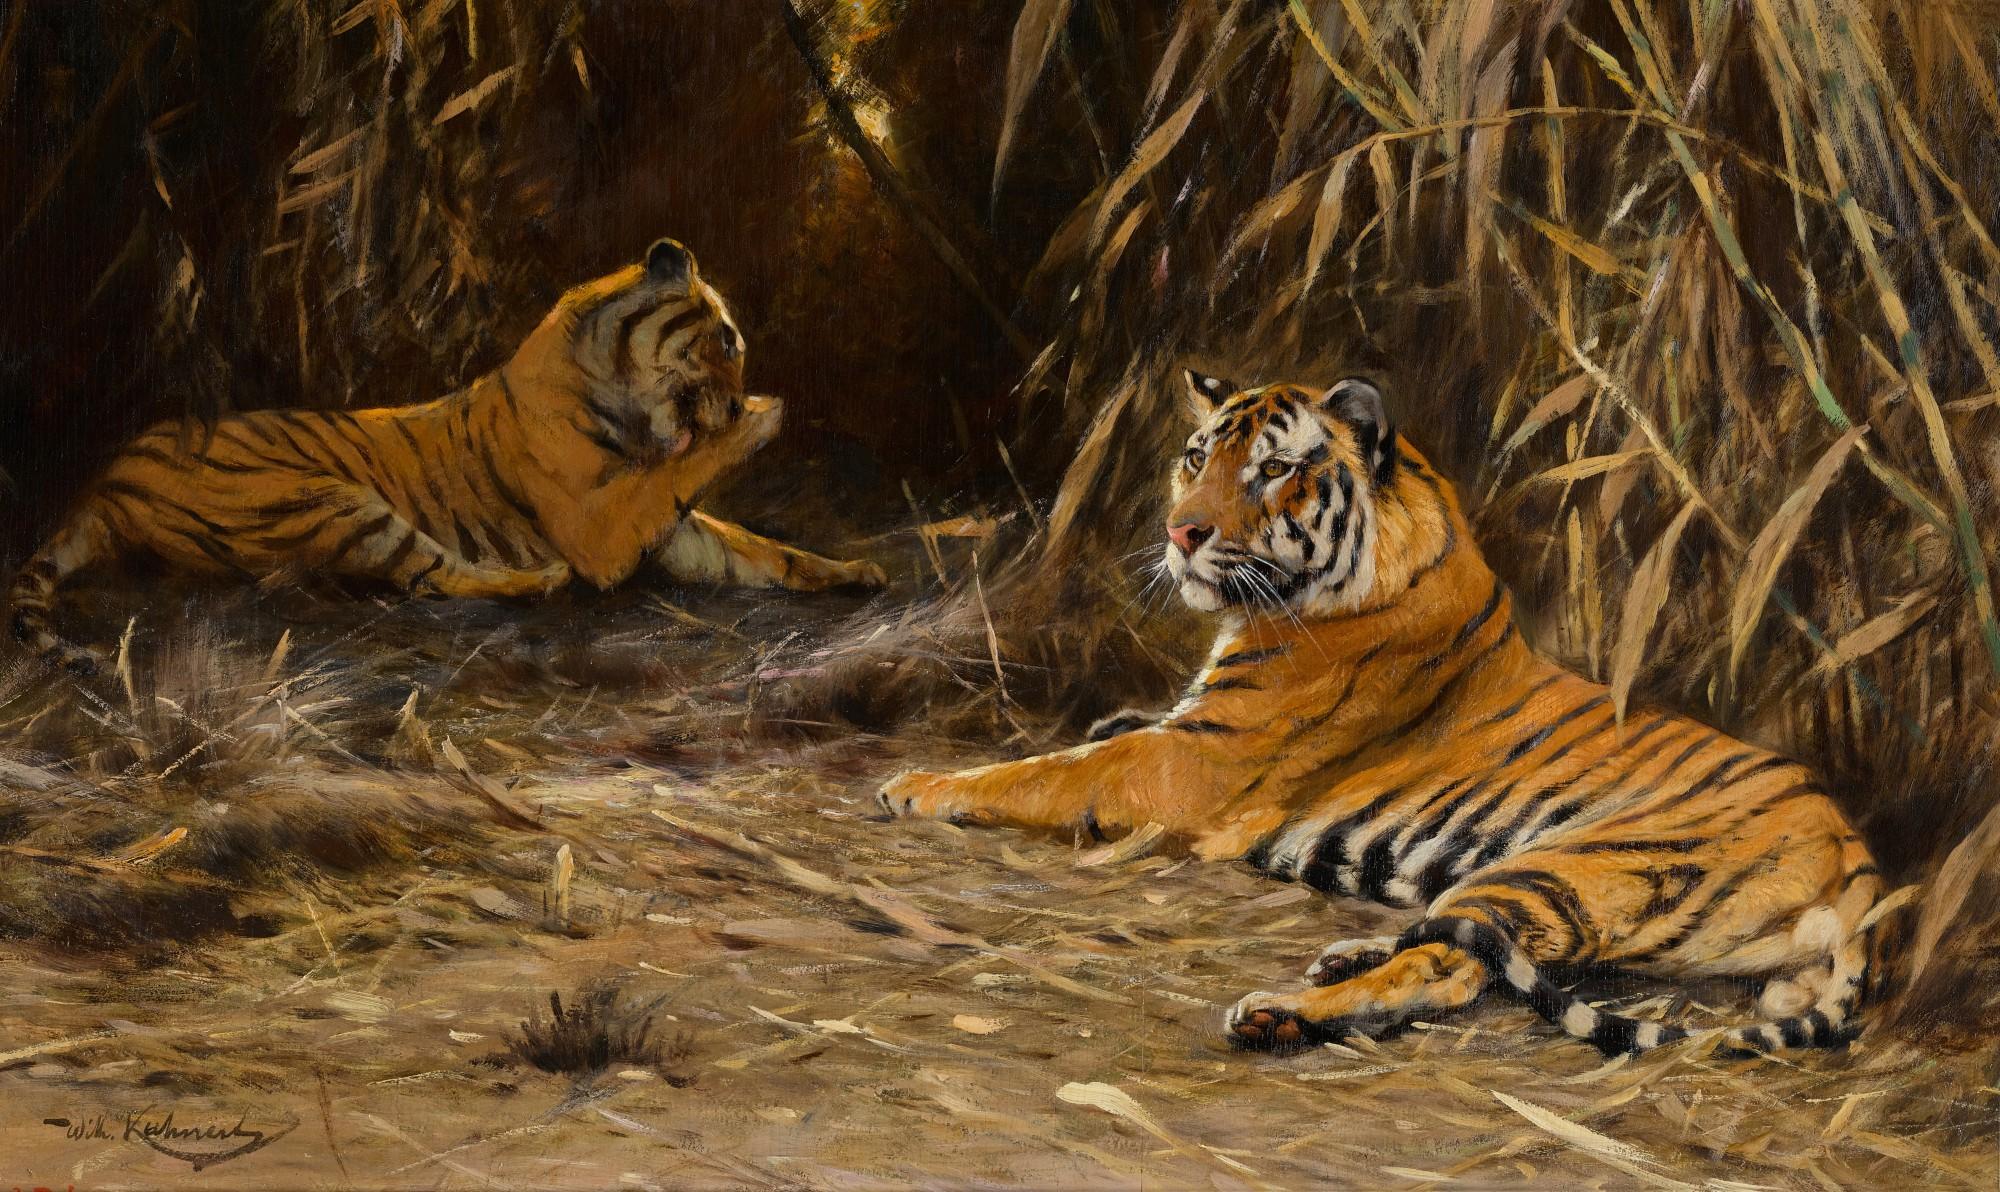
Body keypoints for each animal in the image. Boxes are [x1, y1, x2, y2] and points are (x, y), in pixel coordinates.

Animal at [10, 238, 887, 672]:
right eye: (726, 340)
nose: (735, 400)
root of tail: (106, 477)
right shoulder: (603, 525)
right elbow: (685, 473)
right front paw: (764, 417)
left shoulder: (670, 531)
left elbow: (765, 551)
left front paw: (855, 571)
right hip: (330, 503)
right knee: (431, 577)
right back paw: (536, 581)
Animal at [880, 369, 1892, 1057]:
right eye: (1197, 457)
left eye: (1274, 470)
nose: (1180, 533)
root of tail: (1862, 863)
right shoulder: (1182, 730)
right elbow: (1099, 735)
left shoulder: (1193, 764)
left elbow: (1049, 772)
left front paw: (916, 785)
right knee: (1467, 942)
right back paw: (1342, 956)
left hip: (1569, 864)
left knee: (1452, 967)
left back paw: (1285, 1010)